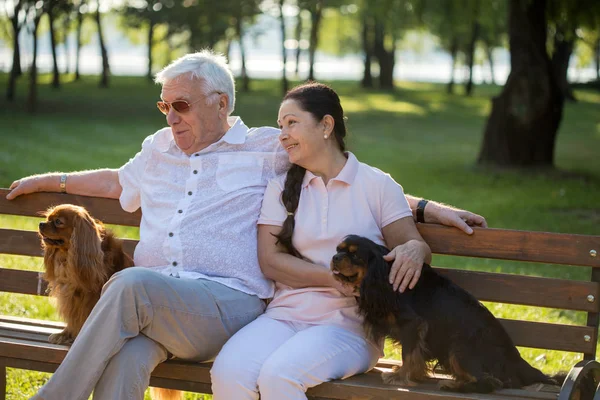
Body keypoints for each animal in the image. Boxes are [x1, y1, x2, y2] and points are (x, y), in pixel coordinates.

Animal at [330, 234, 560, 394]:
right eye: (338, 250)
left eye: (354, 255)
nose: (335, 257)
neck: (383, 274)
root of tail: (518, 362)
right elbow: (416, 355)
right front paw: (414, 375)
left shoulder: (413, 324)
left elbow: (408, 354)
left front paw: (401, 377)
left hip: (458, 346)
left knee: (489, 382)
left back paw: (453, 386)